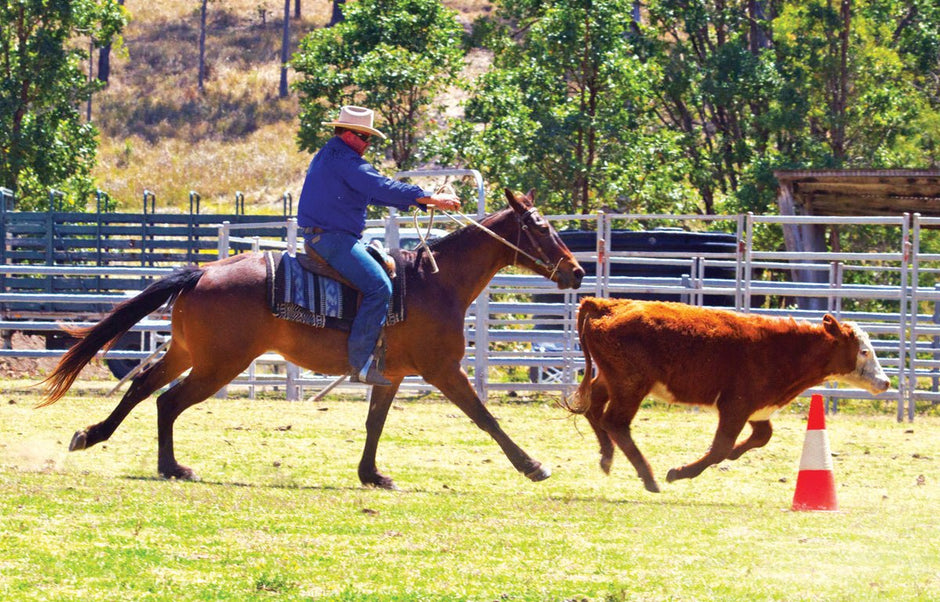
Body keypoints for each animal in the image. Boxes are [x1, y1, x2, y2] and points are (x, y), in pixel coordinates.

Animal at [40, 188, 584, 488]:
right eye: (541, 228)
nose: (577, 272)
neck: (437, 282)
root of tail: (202, 273)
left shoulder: (391, 374)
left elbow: (374, 424)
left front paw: (372, 475)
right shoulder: (443, 369)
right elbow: (484, 417)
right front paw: (532, 465)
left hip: (187, 351)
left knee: (143, 387)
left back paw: (94, 436)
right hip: (220, 363)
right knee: (168, 400)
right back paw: (173, 467)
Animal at [564, 296, 888, 492]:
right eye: (864, 351)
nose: (885, 382)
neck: (783, 349)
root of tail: (606, 304)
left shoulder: (757, 407)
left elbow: (762, 436)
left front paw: (734, 453)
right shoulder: (736, 406)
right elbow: (720, 447)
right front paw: (679, 472)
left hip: (611, 379)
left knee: (594, 408)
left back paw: (607, 457)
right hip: (630, 384)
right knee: (615, 422)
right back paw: (650, 477)